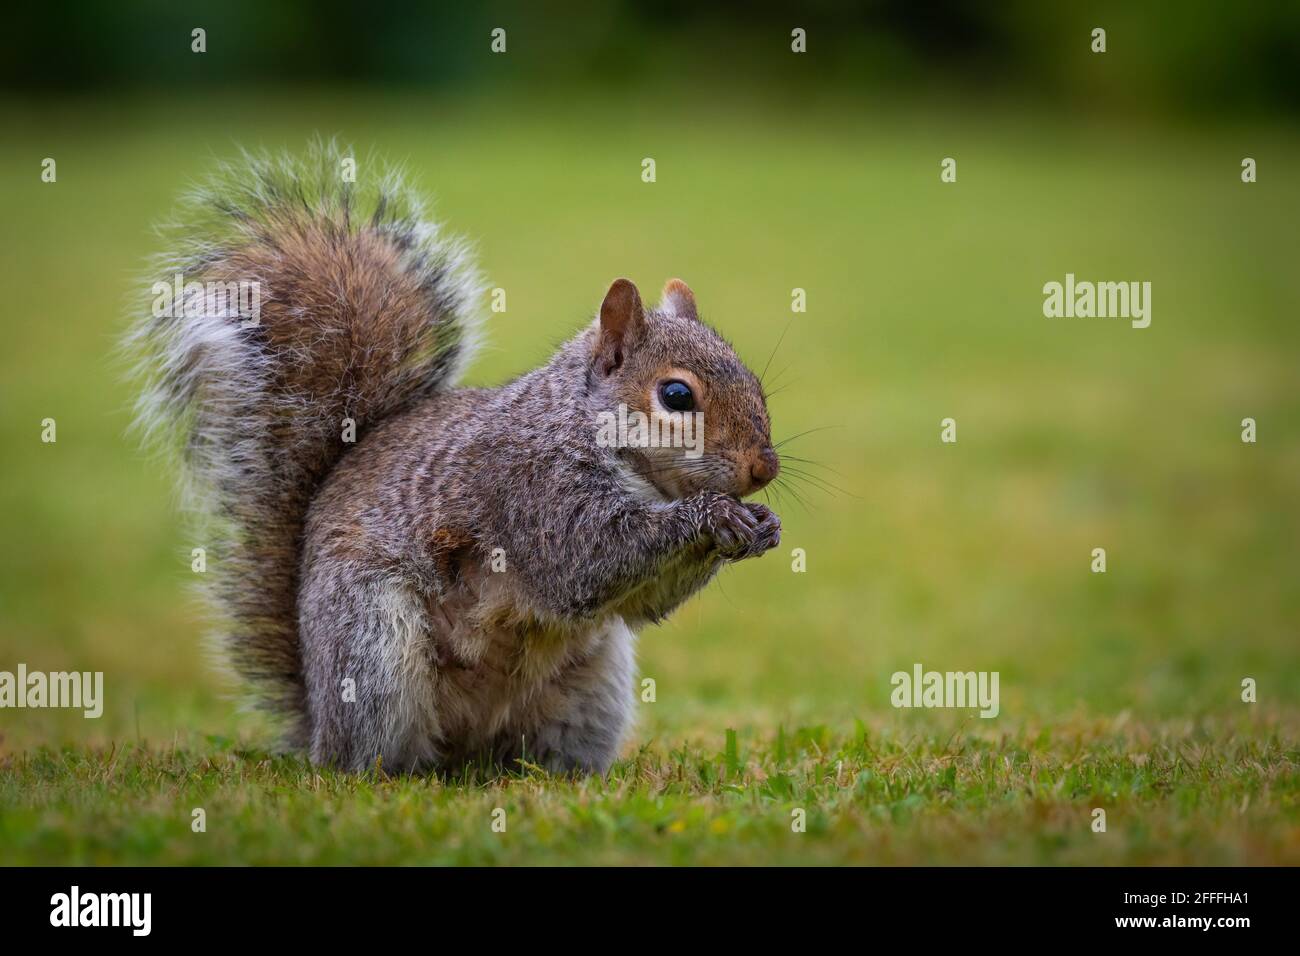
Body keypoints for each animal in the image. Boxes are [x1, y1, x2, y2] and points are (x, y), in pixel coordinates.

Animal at [126, 141, 780, 775]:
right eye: (677, 396)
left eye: (755, 382)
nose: (764, 470)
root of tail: (317, 724)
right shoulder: (532, 489)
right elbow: (588, 561)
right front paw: (711, 515)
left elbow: (646, 603)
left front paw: (762, 526)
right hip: (372, 643)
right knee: (370, 753)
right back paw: (388, 771)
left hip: (593, 686)